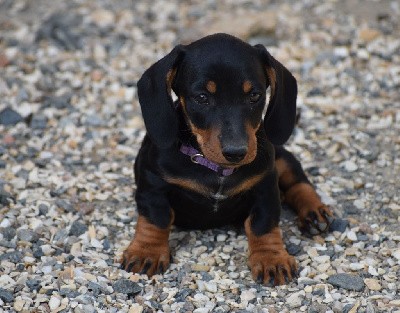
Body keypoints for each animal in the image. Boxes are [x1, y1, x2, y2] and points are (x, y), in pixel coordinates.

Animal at [120, 33, 332, 284]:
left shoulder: (265, 186)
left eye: (254, 95)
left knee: (298, 182)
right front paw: (147, 252)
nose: (236, 152)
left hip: (280, 157)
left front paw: (271, 259)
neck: (216, 169)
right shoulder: (153, 184)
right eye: (202, 97)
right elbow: (156, 218)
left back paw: (314, 213)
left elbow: (263, 224)